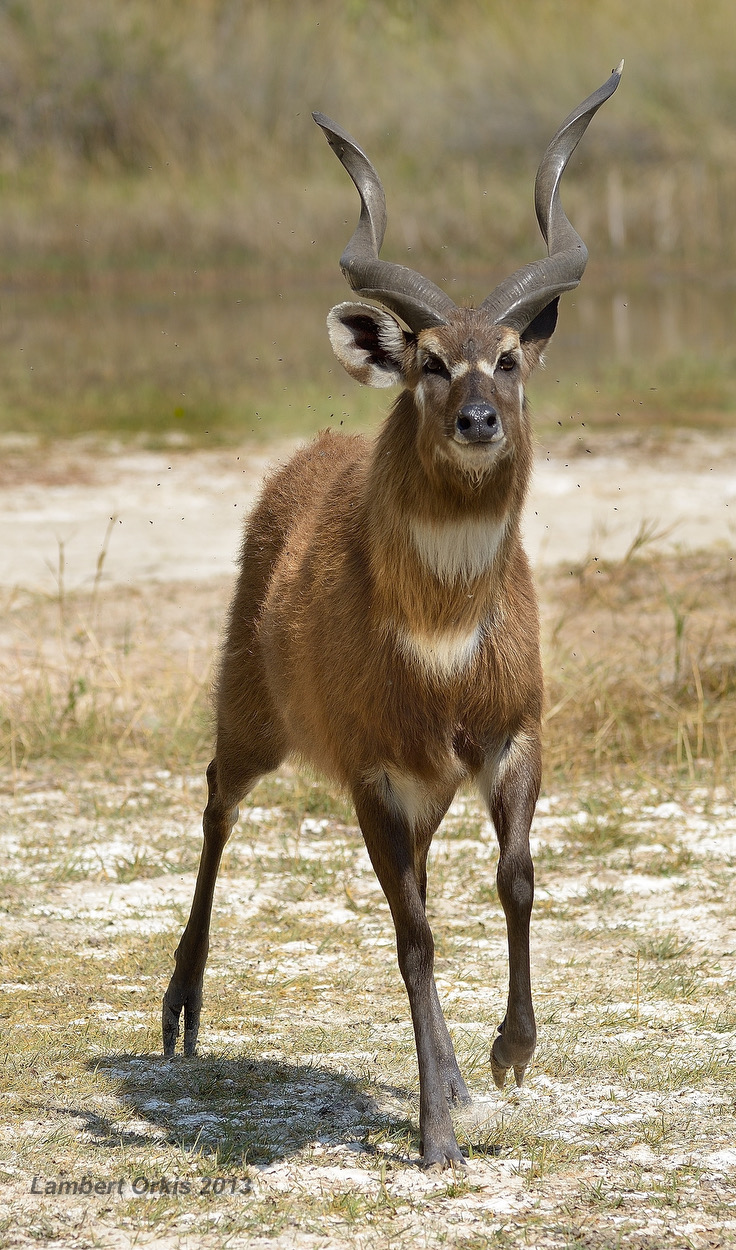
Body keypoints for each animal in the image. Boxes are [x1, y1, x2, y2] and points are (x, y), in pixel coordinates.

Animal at [161, 63, 619, 1165]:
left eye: (508, 356)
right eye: (429, 360)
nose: (478, 420)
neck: (445, 646)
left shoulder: (508, 737)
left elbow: (515, 877)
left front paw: (505, 1057)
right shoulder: (372, 766)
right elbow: (413, 933)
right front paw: (435, 1134)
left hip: (428, 787)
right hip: (256, 716)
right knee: (217, 793)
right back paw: (180, 1013)